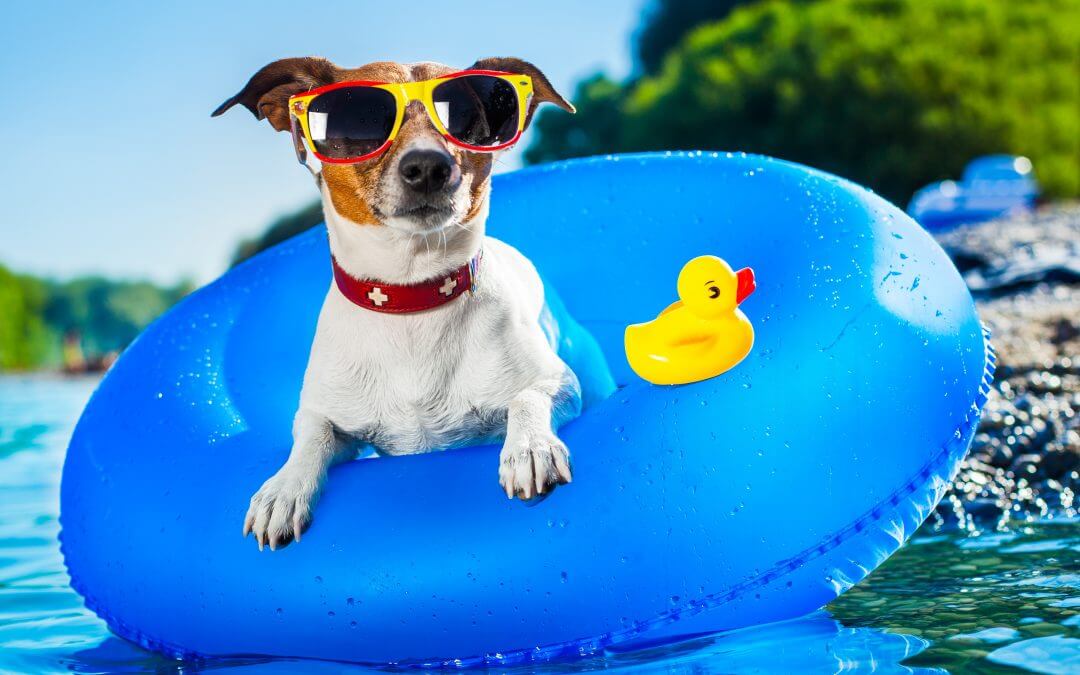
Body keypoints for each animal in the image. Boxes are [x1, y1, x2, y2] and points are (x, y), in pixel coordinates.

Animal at [212, 57, 583, 550]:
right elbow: (310, 436)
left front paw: (529, 448)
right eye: (361, 118)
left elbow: (527, 396)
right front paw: (284, 489)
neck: (411, 298)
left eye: (466, 118)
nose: (427, 166)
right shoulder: (330, 417)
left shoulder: (561, 383)